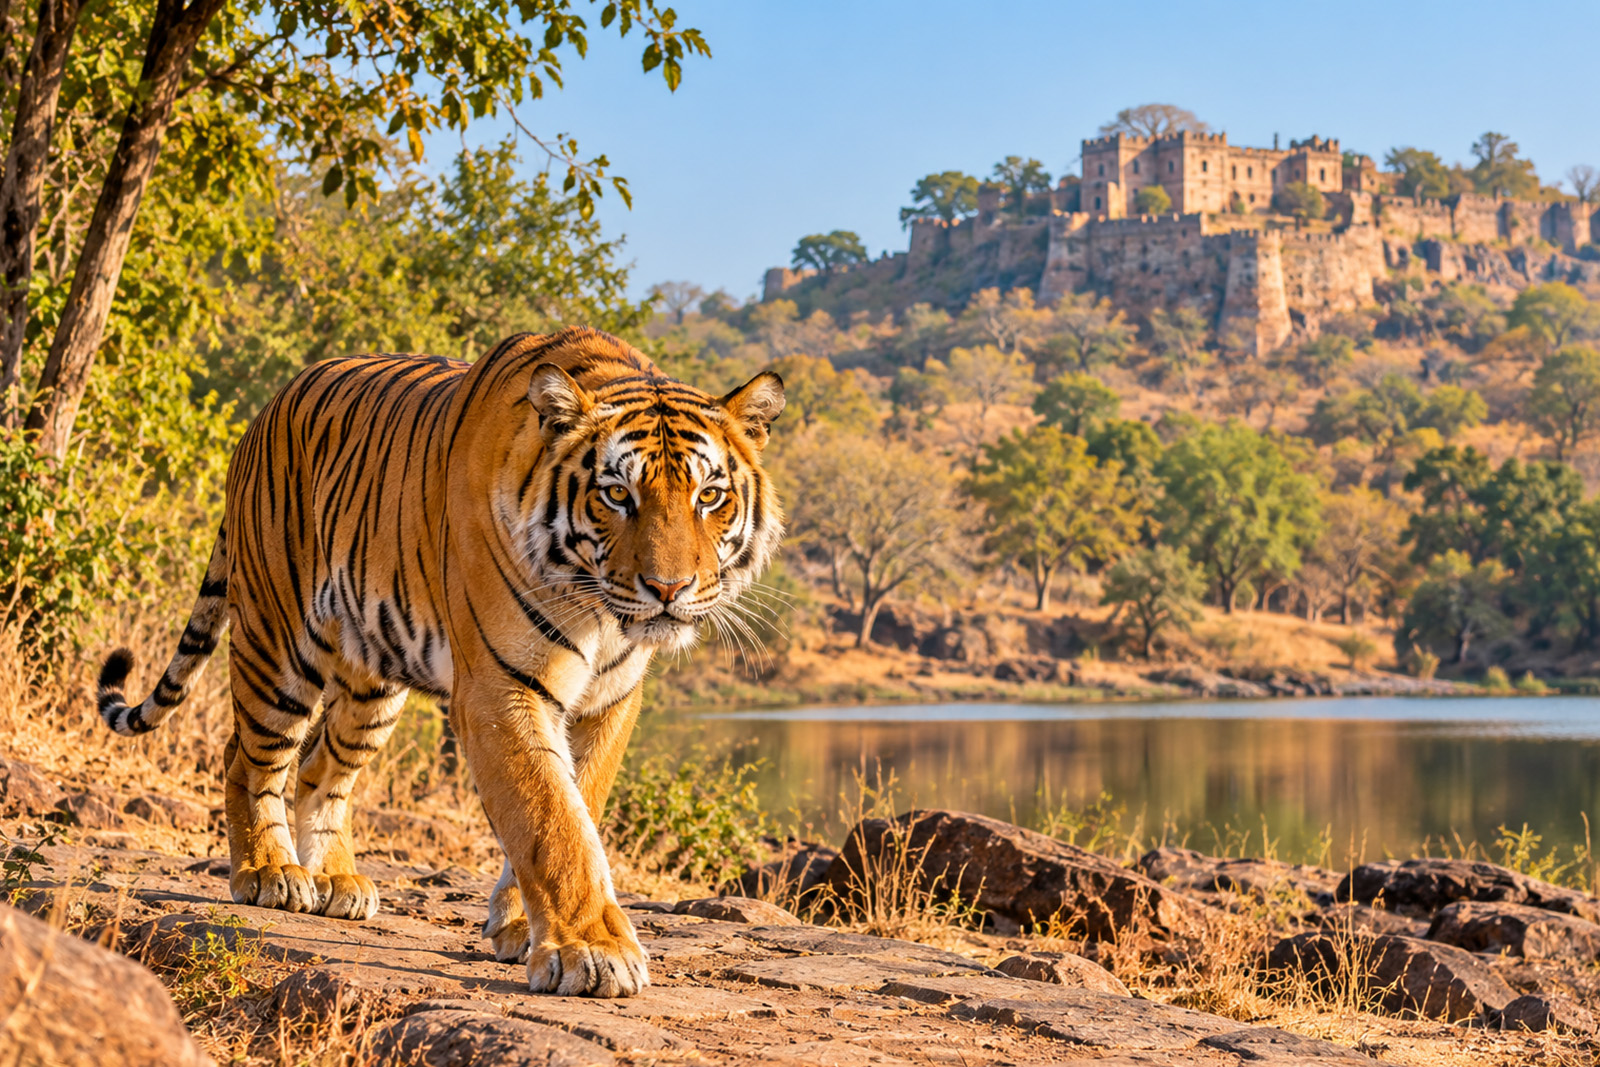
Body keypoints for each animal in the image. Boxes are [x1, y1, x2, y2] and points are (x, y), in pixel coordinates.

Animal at [95, 327, 785, 998]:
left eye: (710, 496)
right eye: (617, 494)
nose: (670, 588)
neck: (599, 609)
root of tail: (263, 414)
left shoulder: (610, 699)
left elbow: (576, 802)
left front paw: (521, 927)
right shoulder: (501, 688)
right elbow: (551, 820)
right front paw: (594, 951)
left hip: (372, 683)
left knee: (321, 767)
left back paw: (338, 882)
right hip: (277, 641)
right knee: (249, 758)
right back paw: (270, 873)